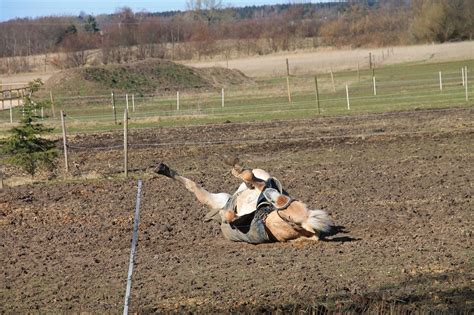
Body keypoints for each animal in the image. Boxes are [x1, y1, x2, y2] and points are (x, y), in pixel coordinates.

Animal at [154, 158, 332, 244]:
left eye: (289, 217)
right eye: (294, 200)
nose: (270, 192)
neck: (264, 213)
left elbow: (229, 216)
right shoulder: (263, 182)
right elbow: (250, 176)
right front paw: (238, 170)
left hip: (214, 198)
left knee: (194, 187)